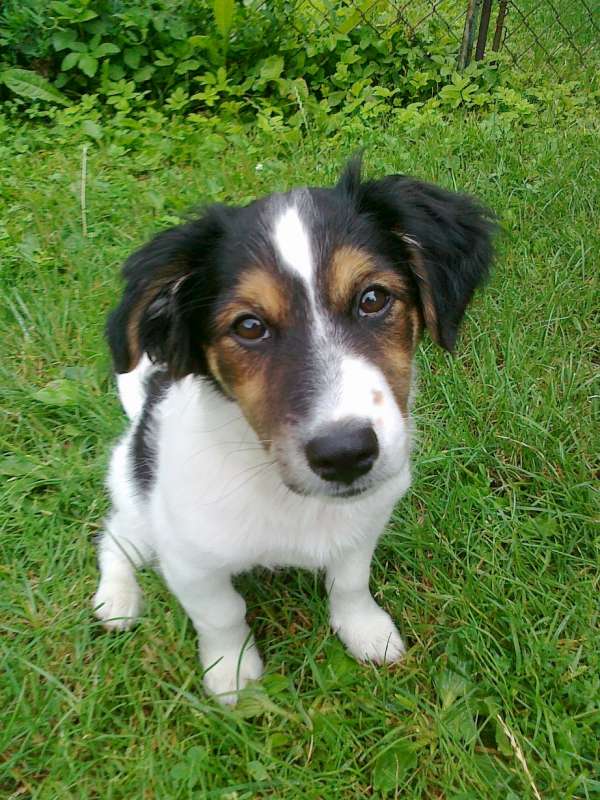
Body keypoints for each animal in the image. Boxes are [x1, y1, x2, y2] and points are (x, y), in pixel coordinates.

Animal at [93, 158, 495, 704]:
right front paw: (231, 672)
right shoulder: (188, 559)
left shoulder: (363, 525)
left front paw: (366, 631)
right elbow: (222, 615)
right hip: (138, 505)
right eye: (248, 327)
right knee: (114, 537)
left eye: (373, 298)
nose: (345, 454)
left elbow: (350, 582)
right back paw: (116, 599)